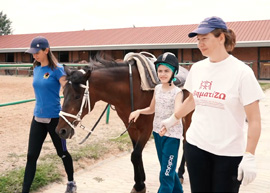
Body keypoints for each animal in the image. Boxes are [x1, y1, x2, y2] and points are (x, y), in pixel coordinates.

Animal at [55, 54, 192, 193]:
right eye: (63, 93)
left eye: (77, 96)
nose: (61, 130)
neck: (133, 89)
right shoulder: (130, 126)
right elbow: (136, 154)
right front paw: (140, 181)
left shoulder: (147, 128)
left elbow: (135, 155)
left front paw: (139, 185)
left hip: (188, 119)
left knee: (186, 142)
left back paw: (180, 173)